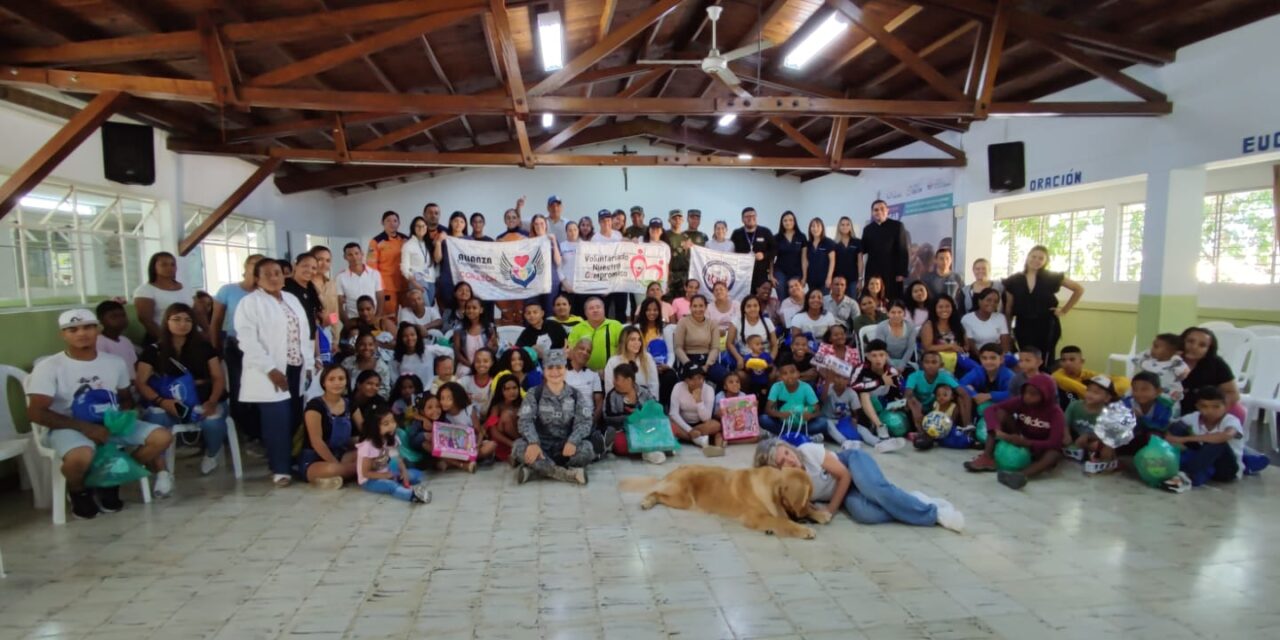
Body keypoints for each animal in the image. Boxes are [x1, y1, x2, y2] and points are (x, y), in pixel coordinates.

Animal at [616, 463, 829, 537]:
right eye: (806, 498)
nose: (801, 515)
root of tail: (672, 471)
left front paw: (820, 514)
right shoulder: (755, 517)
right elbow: (783, 522)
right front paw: (804, 529)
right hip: (682, 499)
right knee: (655, 493)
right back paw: (646, 502)